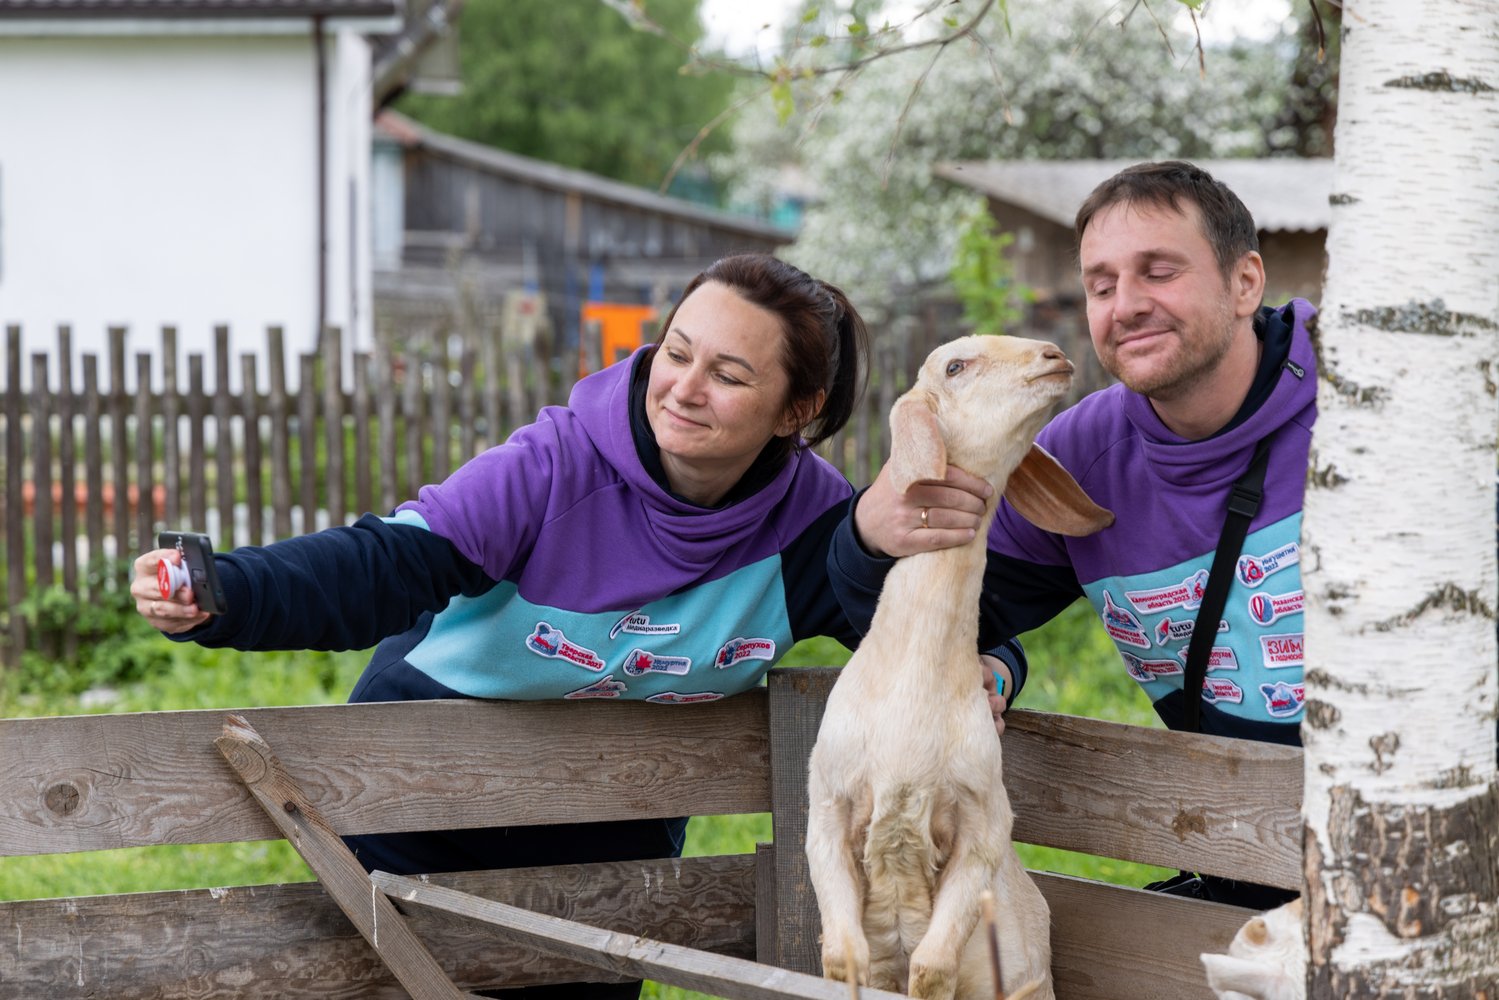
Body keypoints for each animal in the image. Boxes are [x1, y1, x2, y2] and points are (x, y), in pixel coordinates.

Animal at [809, 338, 1115, 1000]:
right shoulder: (827, 808)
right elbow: (844, 959)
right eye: (956, 366)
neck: (912, 692)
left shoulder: (983, 825)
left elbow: (931, 967)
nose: (1053, 355)